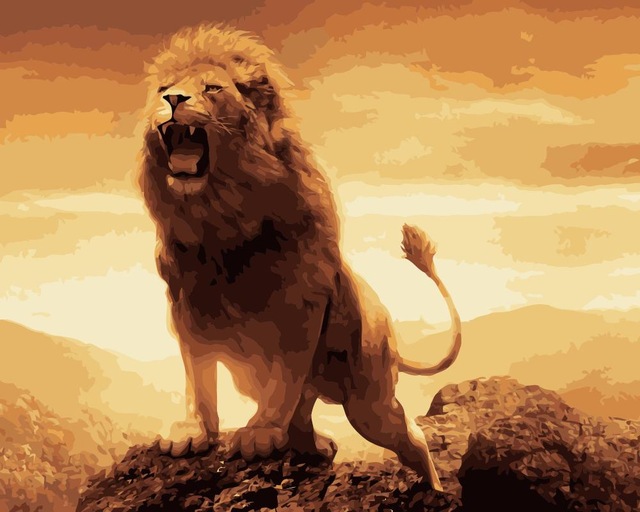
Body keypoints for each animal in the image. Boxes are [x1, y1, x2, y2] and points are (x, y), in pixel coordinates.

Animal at [138, 24, 461, 491]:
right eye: (164, 89)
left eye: (212, 88)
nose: (174, 101)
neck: (220, 219)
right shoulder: (187, 307)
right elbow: (197, 378)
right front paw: (194, 431)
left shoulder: (300, 305)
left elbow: (284, 378)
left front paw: (259, 433)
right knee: (307, 419)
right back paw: (313, 446)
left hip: (369, 401)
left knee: (411, 437)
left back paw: (434, 487)